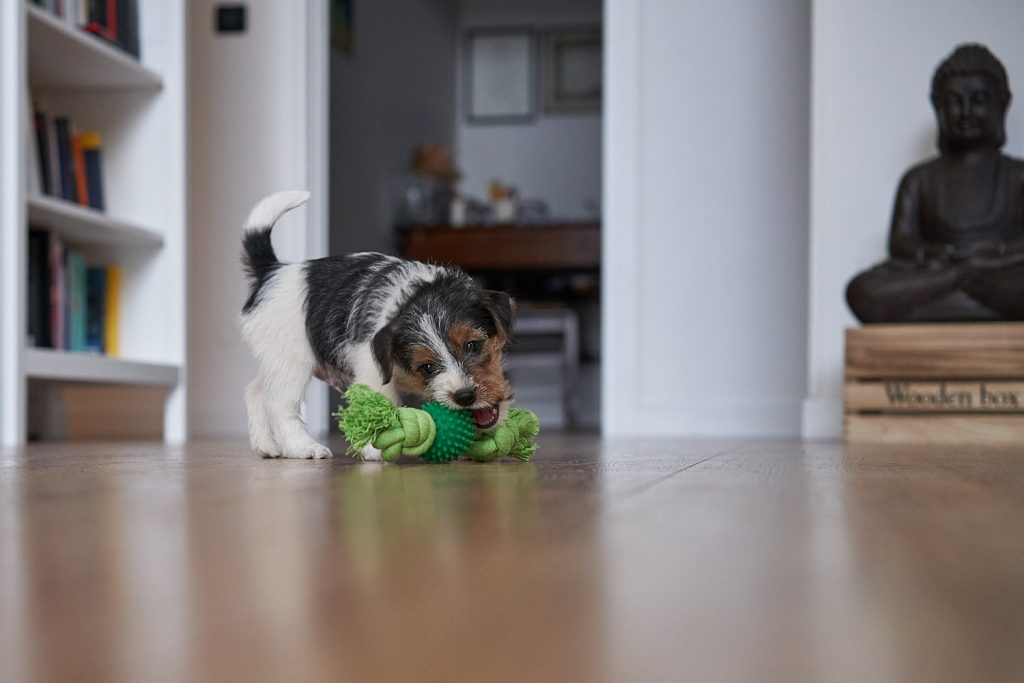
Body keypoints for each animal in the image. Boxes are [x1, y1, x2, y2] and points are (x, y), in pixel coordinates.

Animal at [237, 191, 512, 458]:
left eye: (473, 345)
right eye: (428, 367)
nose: (464, 396)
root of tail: (273, 271)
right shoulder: (371, 370)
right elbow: (380, 401)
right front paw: (376, 446)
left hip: (277, 360)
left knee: (255, 391)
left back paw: (267, 446)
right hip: (292, 362)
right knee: (280, 405)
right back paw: (302, 447)